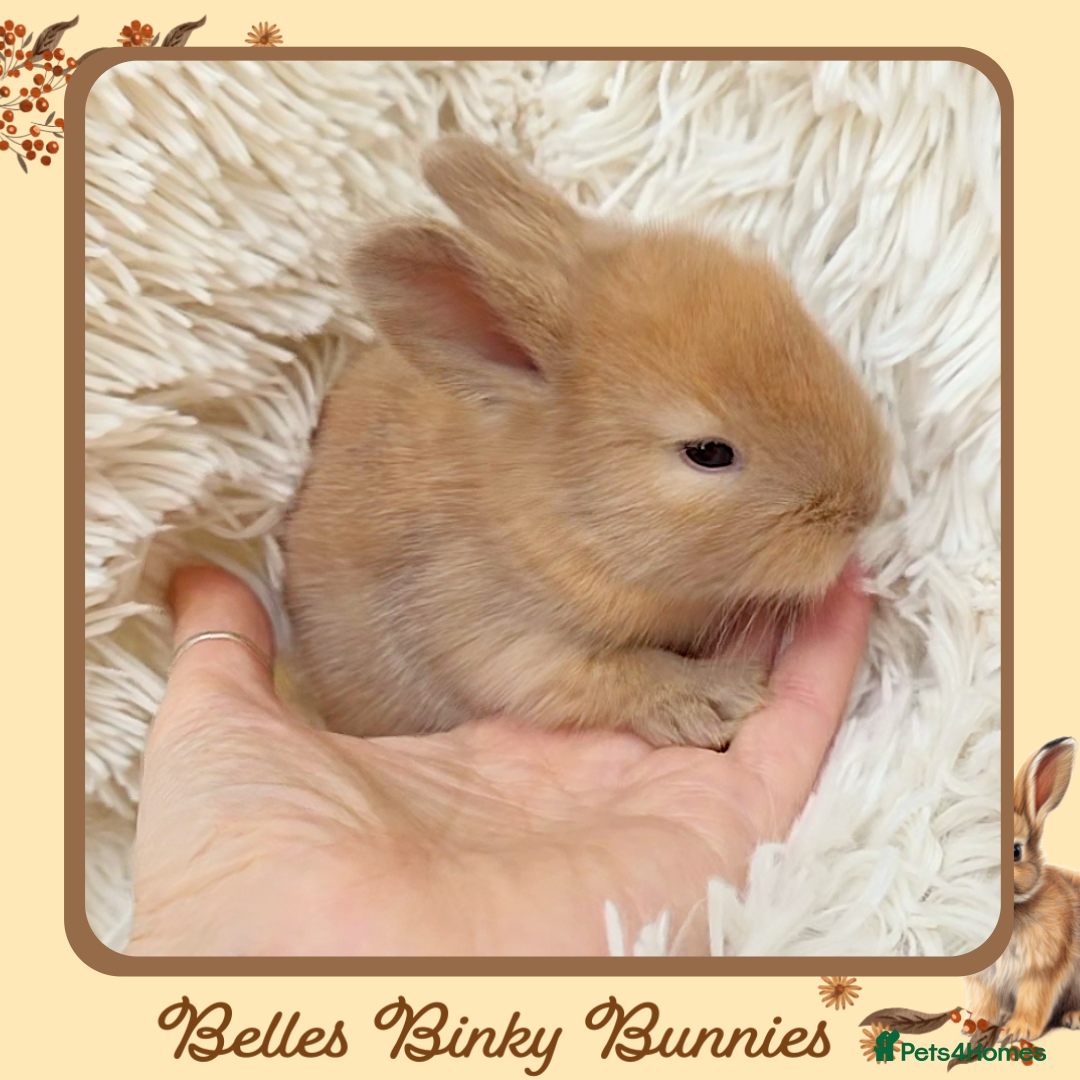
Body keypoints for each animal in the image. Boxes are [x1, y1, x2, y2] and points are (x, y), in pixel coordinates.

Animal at [282, 135, 891, 749]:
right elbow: (616, 673)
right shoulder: (499, 637)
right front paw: (718, 696)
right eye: (709, 453)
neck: (571, 510)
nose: (863, 508)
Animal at [964, 737, 1080, 1041]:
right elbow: (984, 1000)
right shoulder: (986, 978)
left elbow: (1033, 1001)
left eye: (1015, 851)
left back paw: (1073, 1017)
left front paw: (1017, 1032)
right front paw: (975, 1025)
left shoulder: (1041, 971)